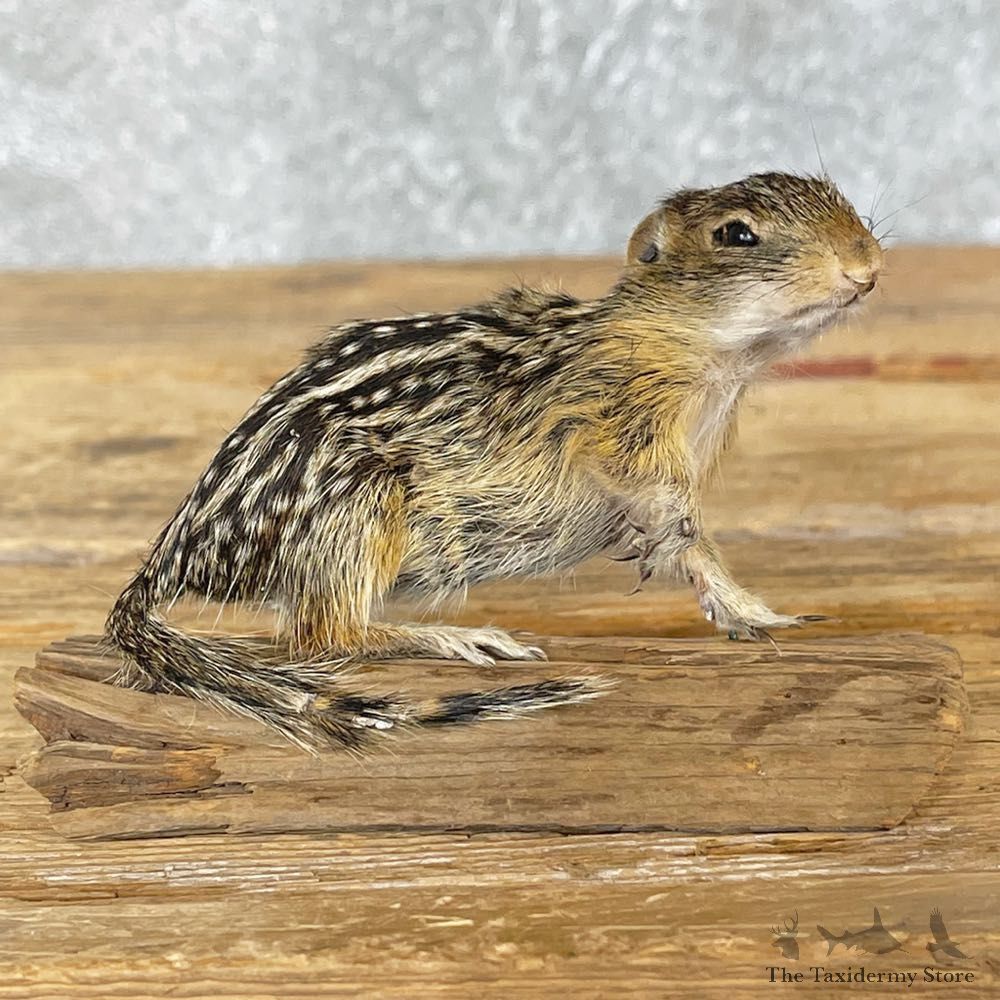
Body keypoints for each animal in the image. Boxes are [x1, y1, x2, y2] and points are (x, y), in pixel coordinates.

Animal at [105, 172, 884, 751]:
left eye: (839, 197)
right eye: (736, 233)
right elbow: (687, 536)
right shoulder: (629, 441)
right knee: (323, 635)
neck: (701, 356)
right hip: (357, 508)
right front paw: (754, 609)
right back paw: (459, 637)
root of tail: (177, 555)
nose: (868, 265)